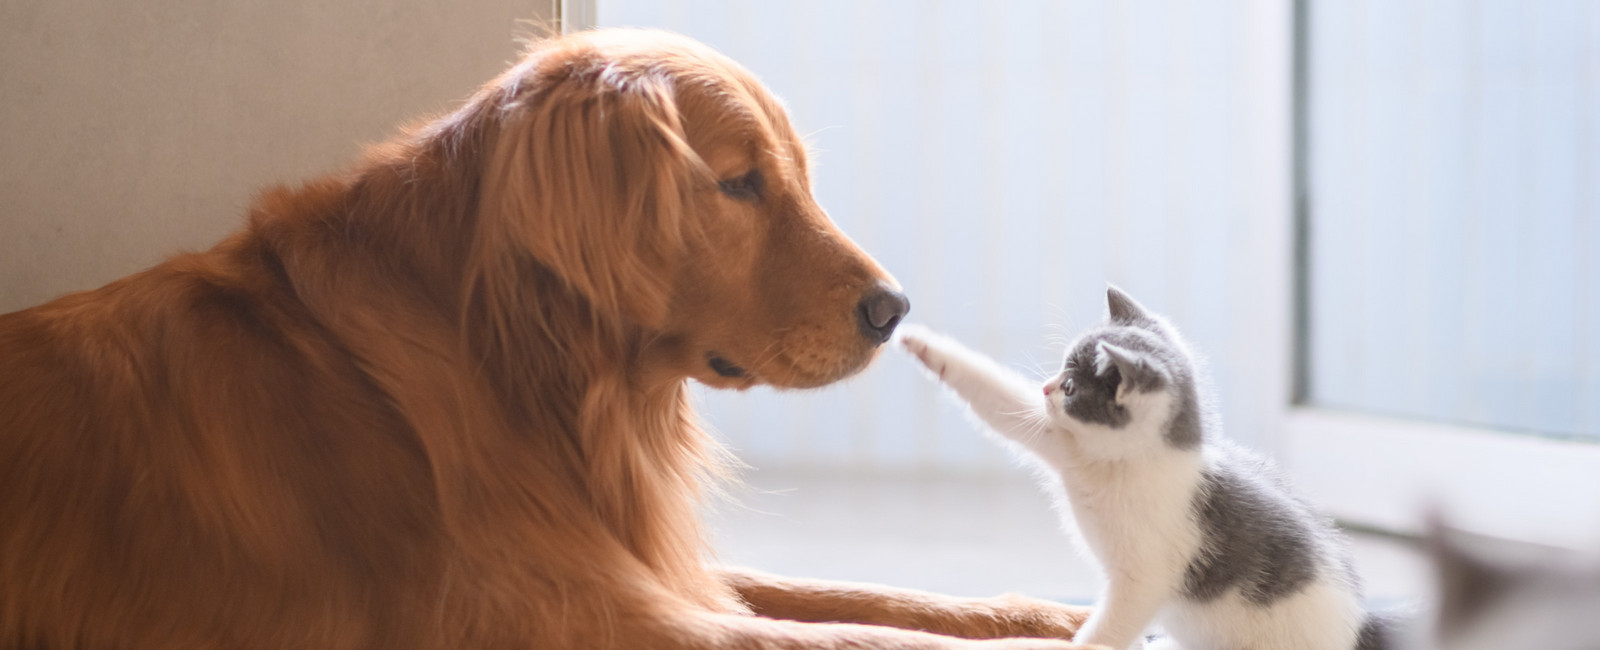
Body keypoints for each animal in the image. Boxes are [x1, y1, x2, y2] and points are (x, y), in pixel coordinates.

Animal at [0, 28, 1088, 646]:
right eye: (738, 183)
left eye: (795, 176)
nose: (893, 308)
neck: (522, 370)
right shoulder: (580, 613)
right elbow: (876, 637)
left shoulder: (643, 564)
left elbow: (878, 595)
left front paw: (1064, 609)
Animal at [902, 288, 1388, 650]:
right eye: (1060, 370)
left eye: (1071, 386)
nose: (1045, 388)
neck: (1116, 464)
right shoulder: (1062, 443)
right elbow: (1000, 402)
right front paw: (923, 344)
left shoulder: (1145, 578)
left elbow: (1111, 626)